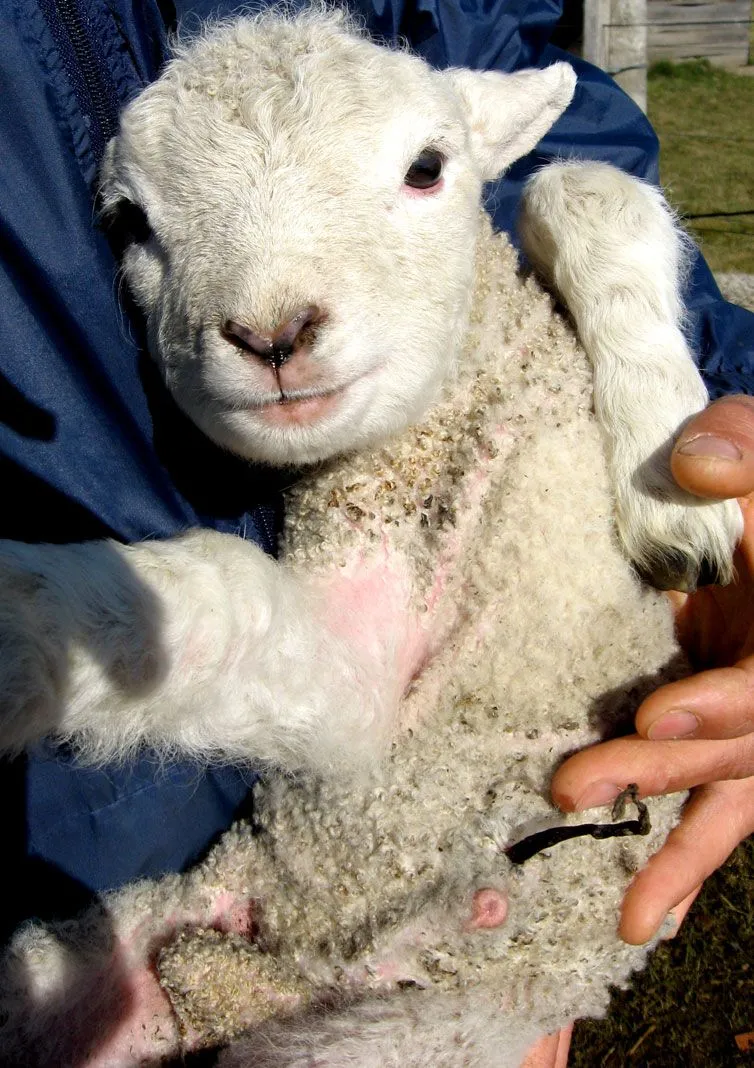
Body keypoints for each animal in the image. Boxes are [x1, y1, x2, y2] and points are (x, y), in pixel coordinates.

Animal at [0, 10, 743, 1068]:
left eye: (427, 167)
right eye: (130, 222)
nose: (271, 333)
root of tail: (260, 973)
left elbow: (580, 180)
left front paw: (672, 476)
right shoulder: (357, 706)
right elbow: (224, 594)